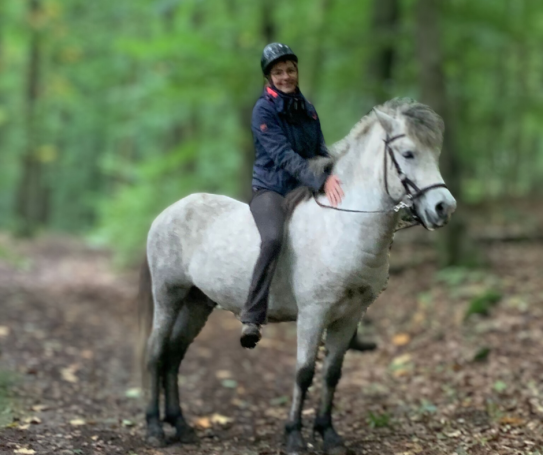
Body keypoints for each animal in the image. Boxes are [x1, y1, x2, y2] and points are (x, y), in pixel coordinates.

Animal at [138, 98, 456, 454]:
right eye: (408, 153)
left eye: (435, 153)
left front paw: (329, 434)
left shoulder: (349, 316)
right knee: (155, 353)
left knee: (174, 355)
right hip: (168, 295)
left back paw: (180, 425)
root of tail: (168, 213)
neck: (342, 226)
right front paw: (294, 436)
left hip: (197, 303)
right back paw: (154, 428)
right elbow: (303, 373)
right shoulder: (313, 314)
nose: (444, 207)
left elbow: (332, 374)